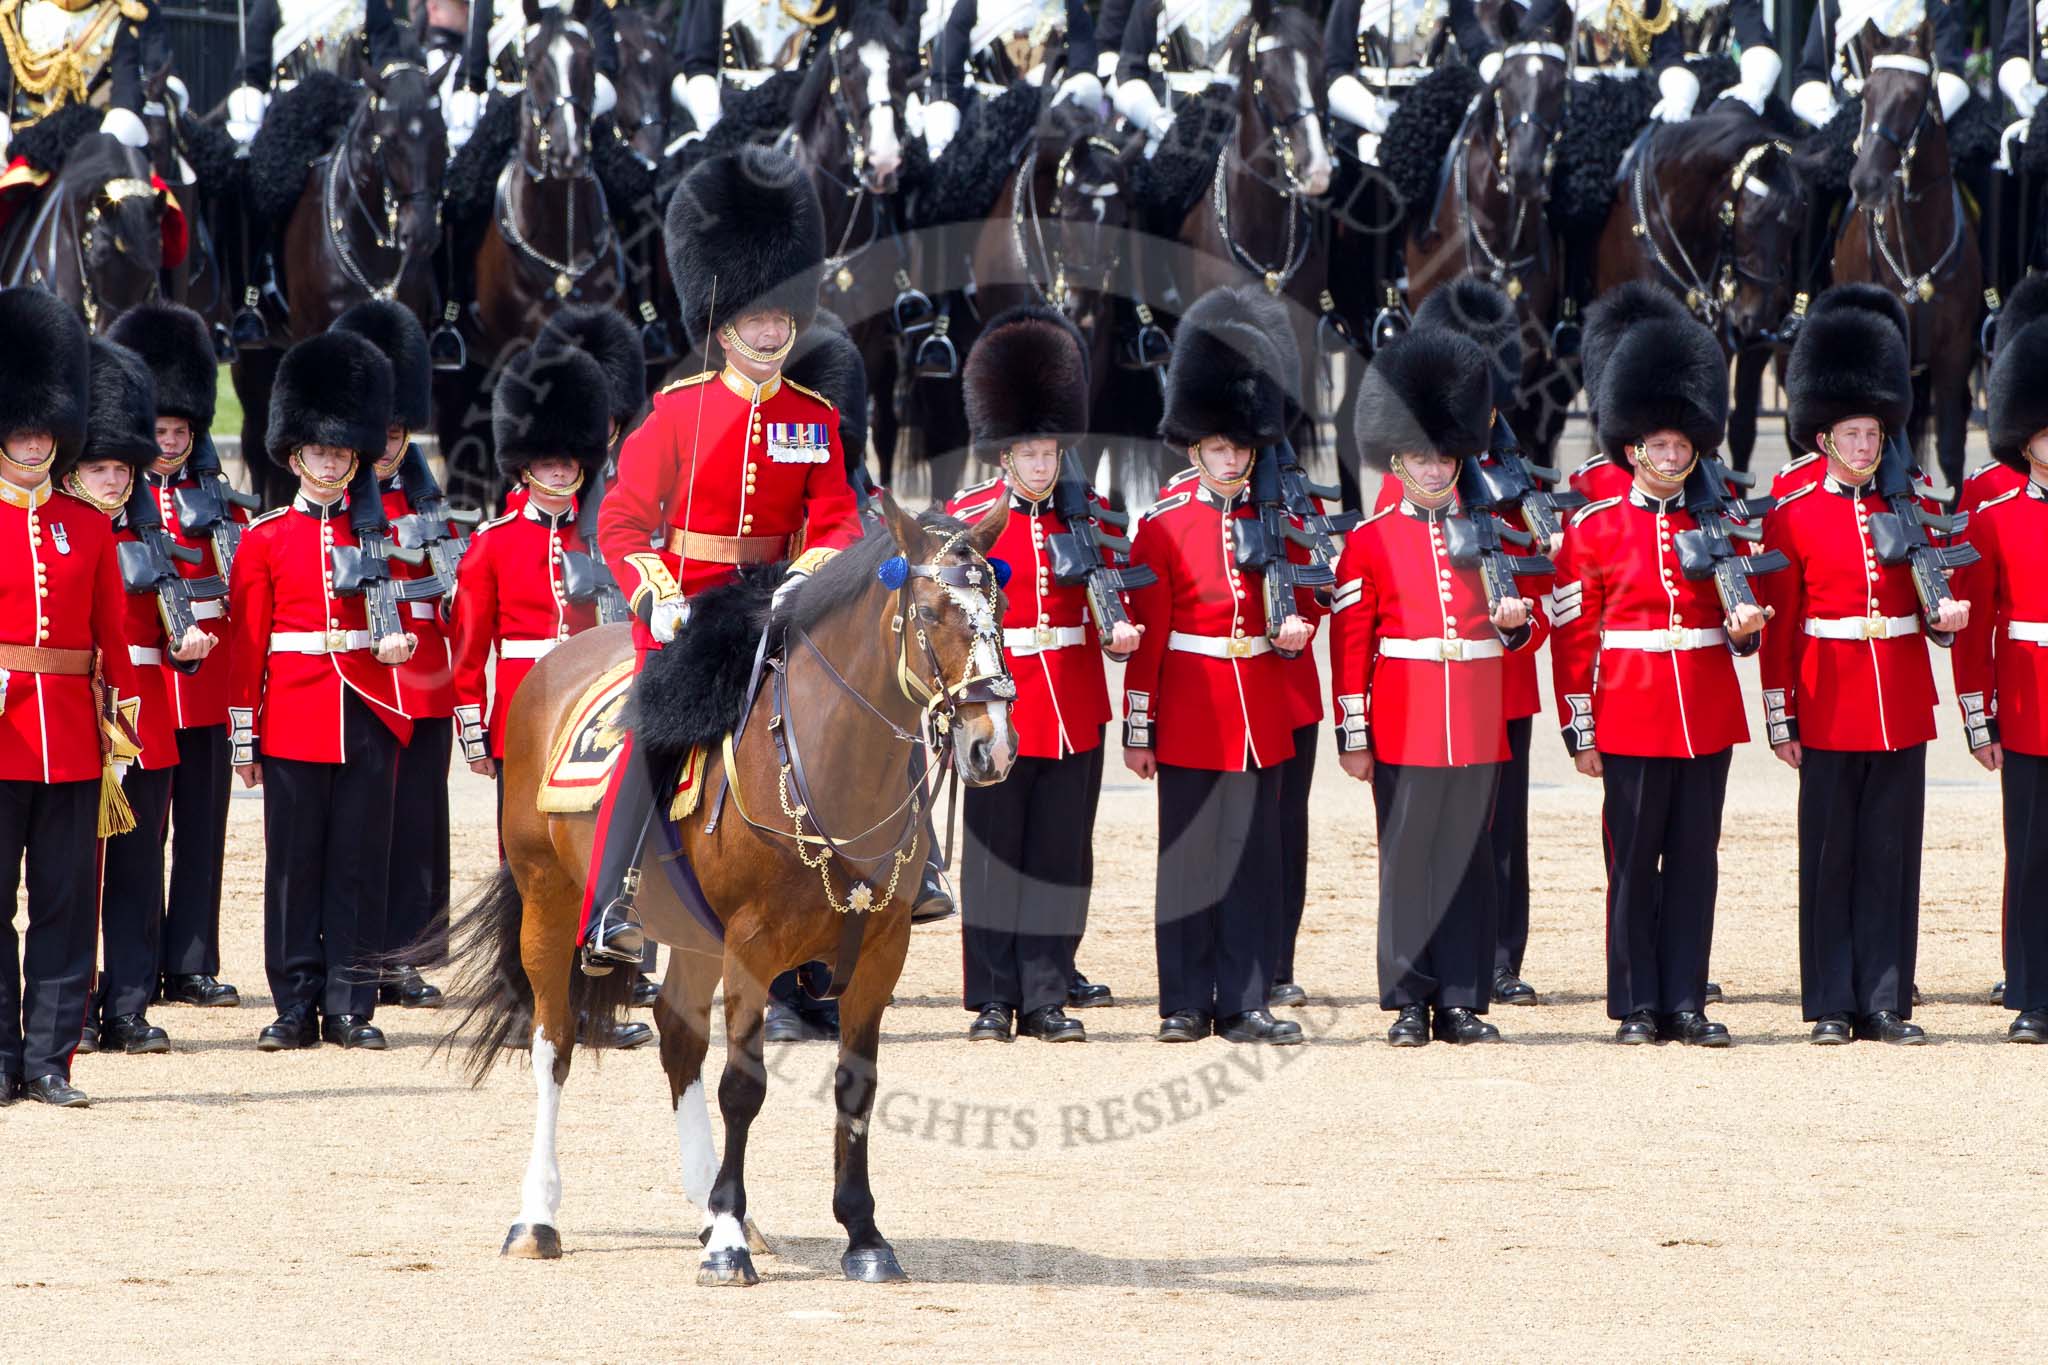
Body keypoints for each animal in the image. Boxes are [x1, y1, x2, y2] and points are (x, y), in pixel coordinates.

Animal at [442, 497, 1015, 1285]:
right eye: (929, 613)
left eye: (998, 608)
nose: (995, 745)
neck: (831, 765)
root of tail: (554, 661)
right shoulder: (753, 947)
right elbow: (744, 1088)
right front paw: (726, 1245)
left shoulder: (880, 952)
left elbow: (856, 1086)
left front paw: (861, 1235)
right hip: (550, 904)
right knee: (552, 1046)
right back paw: (539, 1216)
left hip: (690, 937)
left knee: (678, 1043)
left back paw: (708, 1202)